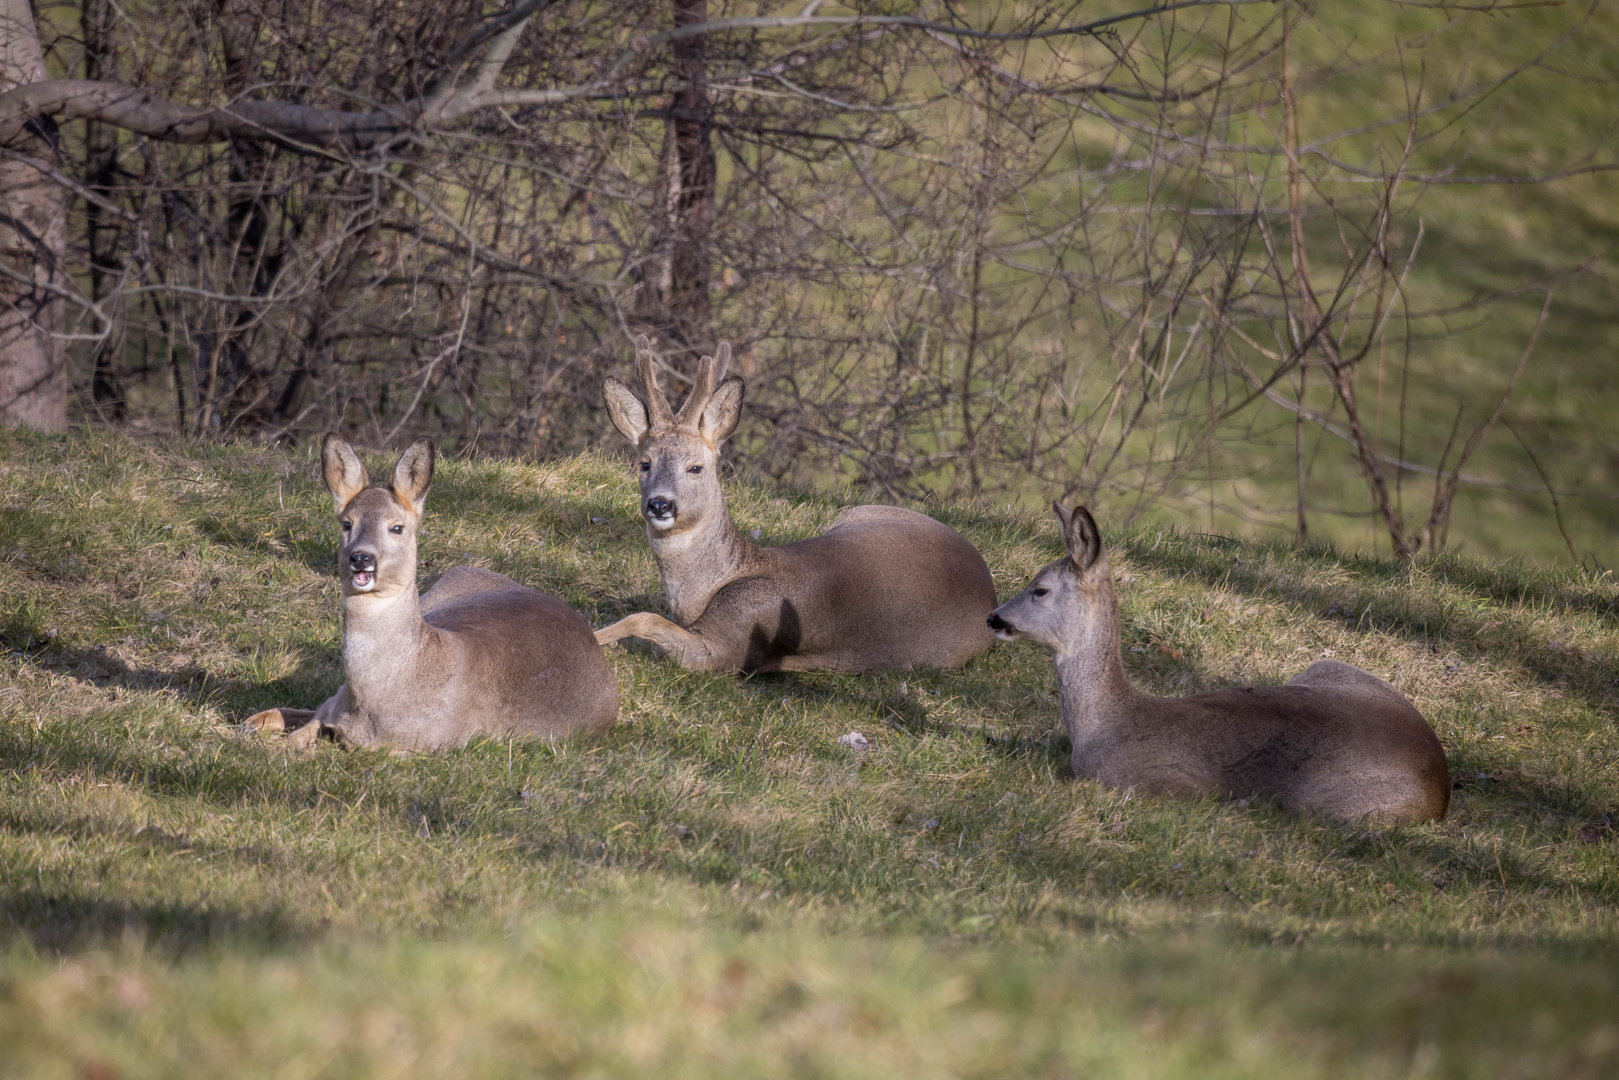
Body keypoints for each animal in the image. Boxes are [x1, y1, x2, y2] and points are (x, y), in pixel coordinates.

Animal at [242, 433, 615, 748]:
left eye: (397, 527)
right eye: (347, 523)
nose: (361, 558)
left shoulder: (423, 745)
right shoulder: (334, 707)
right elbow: (305, 727)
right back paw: (253, 720)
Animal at [595, 338, 997, 676]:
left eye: (696, 467)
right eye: (644, 463)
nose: (660, 504)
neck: (708, 589)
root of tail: (986, 583)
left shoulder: (731, 645)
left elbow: (643, 619)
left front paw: (596, 637)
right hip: (856, 513)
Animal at [984, 501, 1457, 822]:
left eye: (1040, 589)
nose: (993, 618)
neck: (1102, 727)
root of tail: (1440, 781)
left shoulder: (1168, 784)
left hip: (1321, 802)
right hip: (1325, 668)